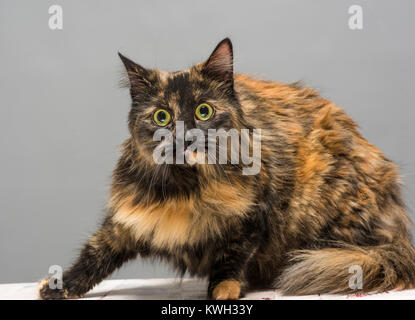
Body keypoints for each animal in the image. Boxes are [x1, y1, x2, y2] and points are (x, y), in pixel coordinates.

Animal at [38, 38, 415, 300]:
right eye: (162, 116)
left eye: (203, 111)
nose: (184, 136)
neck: (186, 188)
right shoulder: (126, 221)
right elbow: (94, 254)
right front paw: (60, 286)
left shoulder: (254, 215)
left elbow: (232, 258)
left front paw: (223, 290)